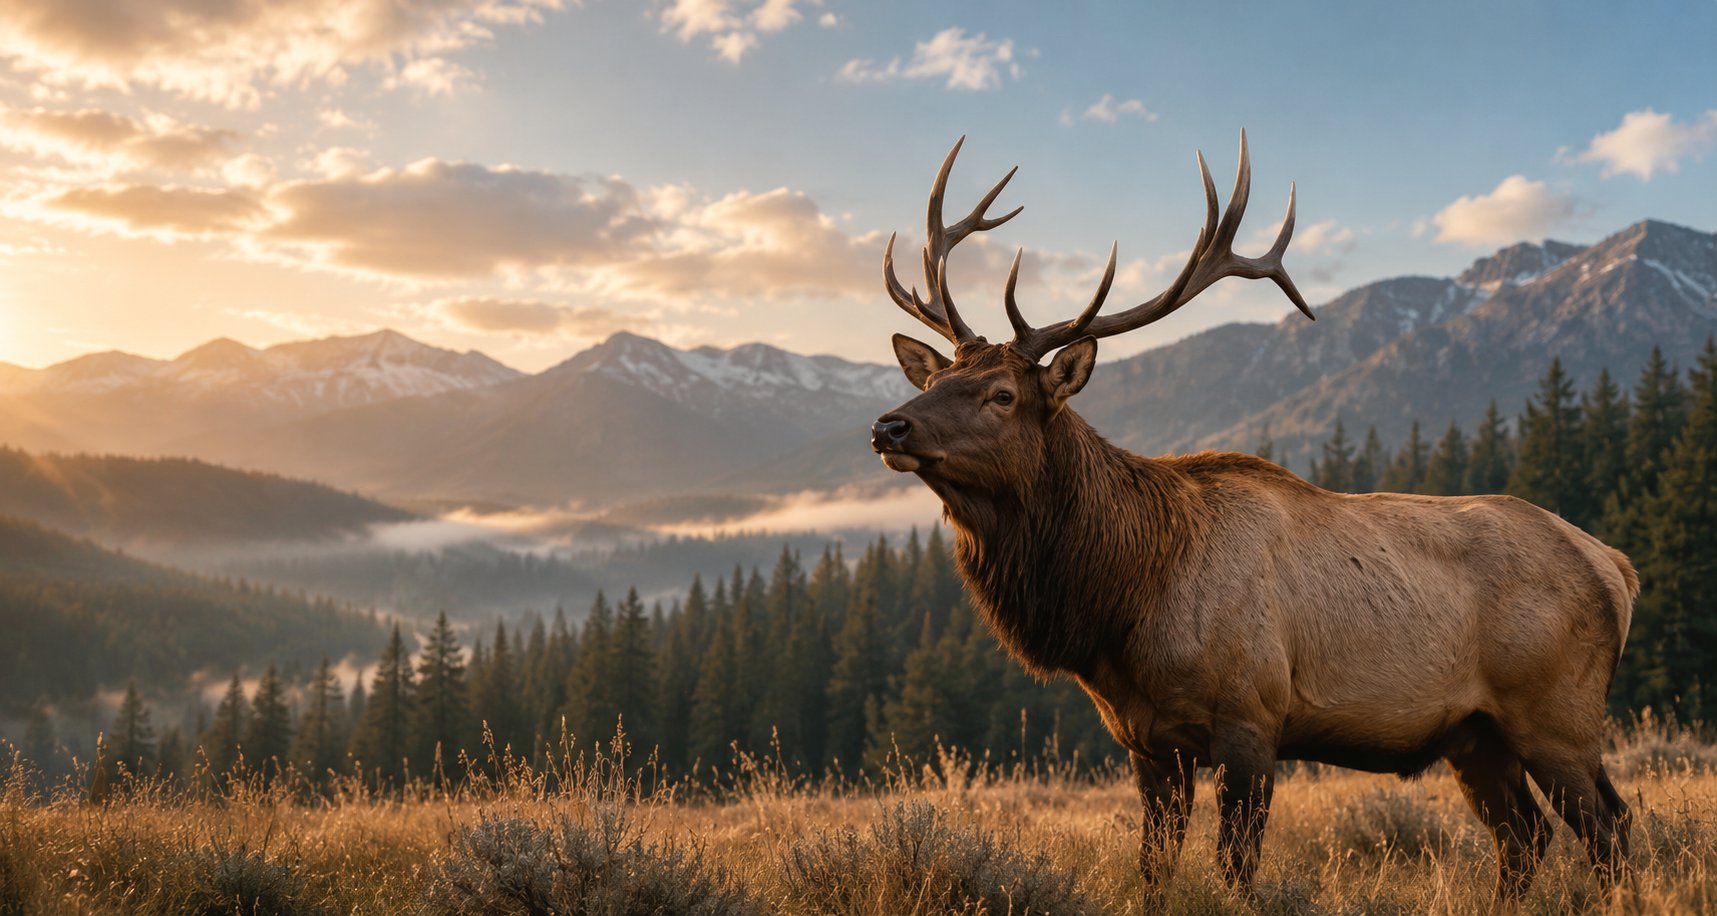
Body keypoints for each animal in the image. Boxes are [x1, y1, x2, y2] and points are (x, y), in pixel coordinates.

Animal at [868, 133, 1638, 903]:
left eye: (1001, 394)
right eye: (937, 379)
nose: (889, 425)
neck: (1119, 606)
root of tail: (1615, 567)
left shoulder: (1250, 717)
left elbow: (1235, 868)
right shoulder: (1148, 742)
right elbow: (1152, 869)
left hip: (1555, 712)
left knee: (1607, 827)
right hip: (1476, 734)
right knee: (1525, 837)